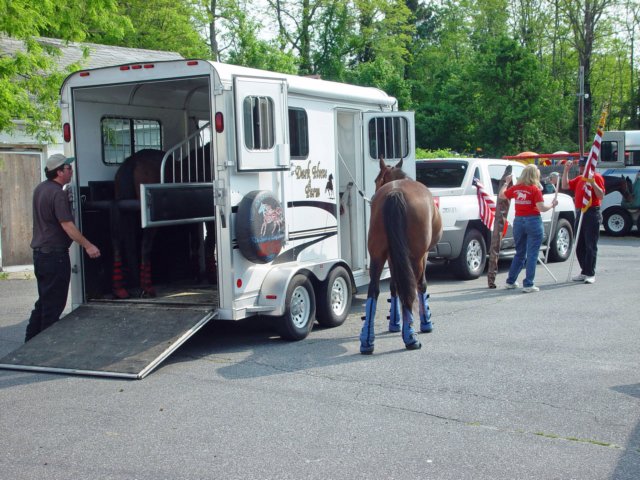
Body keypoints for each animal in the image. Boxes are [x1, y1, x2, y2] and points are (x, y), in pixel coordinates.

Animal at [358, 156, 442, 354]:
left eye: (376, 180)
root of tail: (395, 193)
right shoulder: (423, 255)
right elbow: (421, 285)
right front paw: (425, 323)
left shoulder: (392, 256)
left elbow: (394, 285)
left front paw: (395, 323)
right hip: (416, 257)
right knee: (411, 287)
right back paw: (410, 337)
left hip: (377, 255)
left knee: (374, 290)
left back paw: (367, 340)